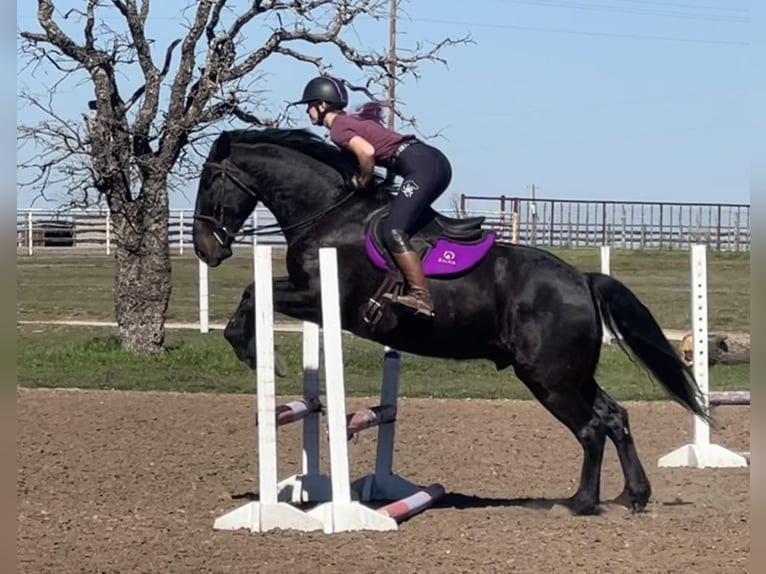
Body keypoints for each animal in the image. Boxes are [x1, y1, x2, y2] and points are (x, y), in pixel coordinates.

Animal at [192, 128, 708, 520]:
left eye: (210, 181)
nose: (205, 249)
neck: (331, 212)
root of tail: (582, 279)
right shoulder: (311, 297)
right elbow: (254, 293)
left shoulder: (321, 298)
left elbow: (253, 293)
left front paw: (258, 354)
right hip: (570, 374)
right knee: (614, 416)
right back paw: (633, 495)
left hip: (548, 377)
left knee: (591, 428)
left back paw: (579, 503)